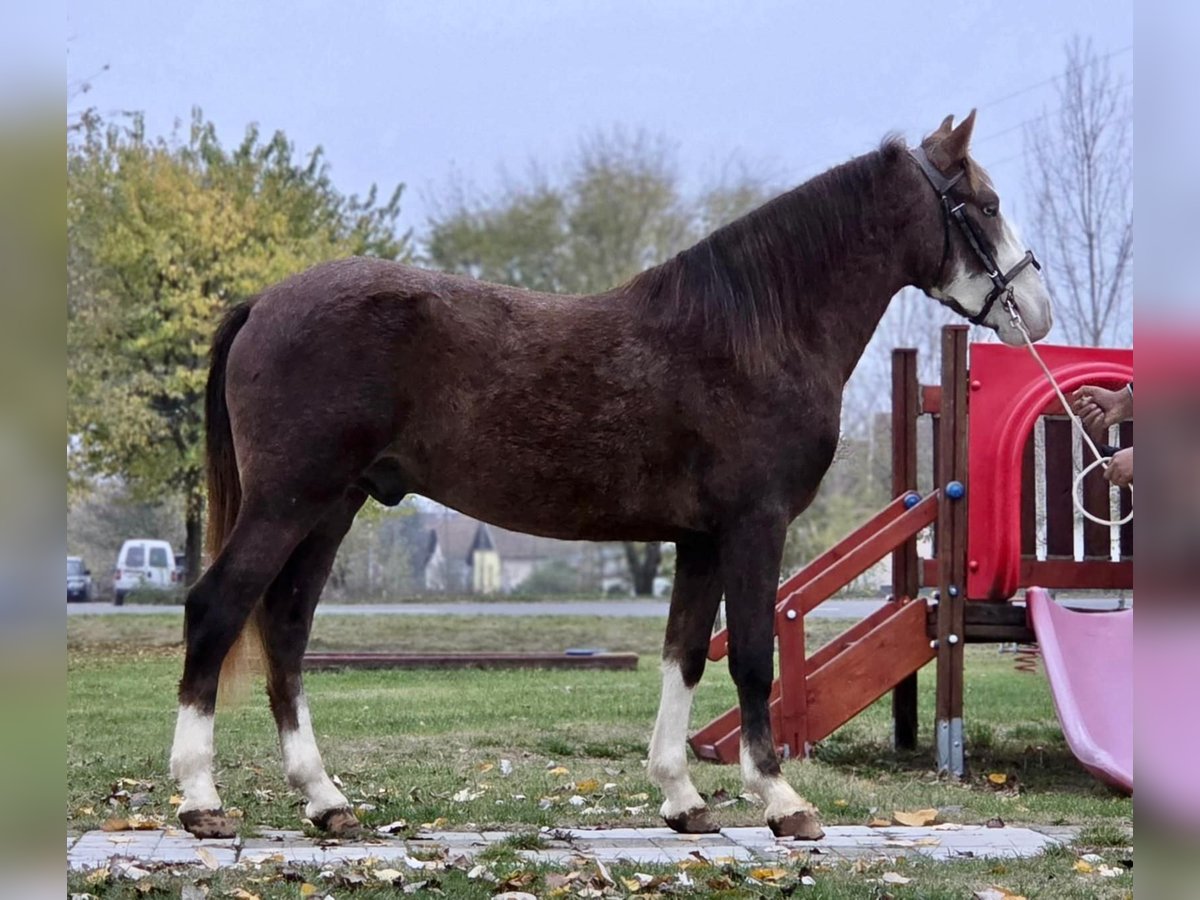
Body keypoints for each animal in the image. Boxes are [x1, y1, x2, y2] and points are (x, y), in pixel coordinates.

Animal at [170, 110, 1052, 840]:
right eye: (984, 204)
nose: (1036, 311)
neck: (755, 332)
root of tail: (262, 302)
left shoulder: (699, 539)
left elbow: (684, 654)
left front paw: (682, 799)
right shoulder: (754, 524)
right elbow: (752, 655)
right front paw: (782, 801)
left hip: (331, 507)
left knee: (285, 627)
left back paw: (325, 801)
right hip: (291, 501)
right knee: (218, 608)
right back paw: (201, 799)